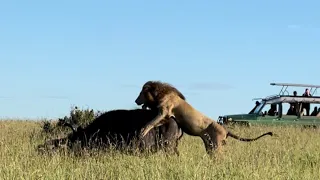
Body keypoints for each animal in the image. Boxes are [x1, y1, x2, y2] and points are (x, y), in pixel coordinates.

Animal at [135, 80, 272, 155]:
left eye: (141, 93)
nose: (136, 101)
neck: (160, 93)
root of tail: (225, 129)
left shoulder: (164, 111)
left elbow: (150, 123)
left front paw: (142, 132)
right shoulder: (165, 116)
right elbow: (156, 122)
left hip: (216, 145)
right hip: (210, 146)